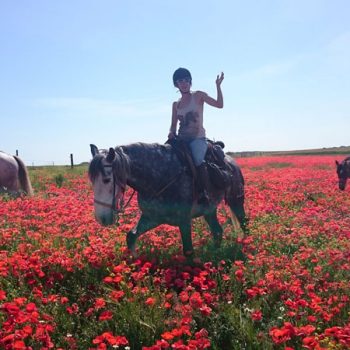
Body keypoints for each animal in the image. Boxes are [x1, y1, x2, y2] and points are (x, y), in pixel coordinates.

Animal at [88, 142, 246, 258]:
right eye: (92, 181)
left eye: (107, 180)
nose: (101, 218)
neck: (160, 177)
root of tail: (231, 162)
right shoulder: (152, 217)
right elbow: (131, 236)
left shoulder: (184, 220)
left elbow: (188, 251)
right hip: (209, 209)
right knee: (217, 231)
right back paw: (214, 254)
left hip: (236, 200)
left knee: (243, 222)